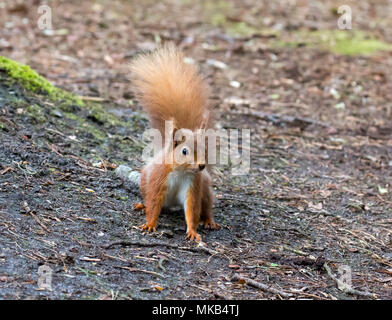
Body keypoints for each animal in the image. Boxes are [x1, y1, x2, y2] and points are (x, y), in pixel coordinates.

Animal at [129, 43, 219, 242]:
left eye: (206, 150)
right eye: (184, 151)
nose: (201, 166)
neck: (181, 171)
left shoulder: (193, 185)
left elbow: (192, 210)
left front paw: (193, 231)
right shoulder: (158, 179)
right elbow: (154, 202)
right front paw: (150, 224)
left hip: (205, 187)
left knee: (207, 205)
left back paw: (209, 221)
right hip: (144, 180)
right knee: (150, 201)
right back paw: (142, 206)